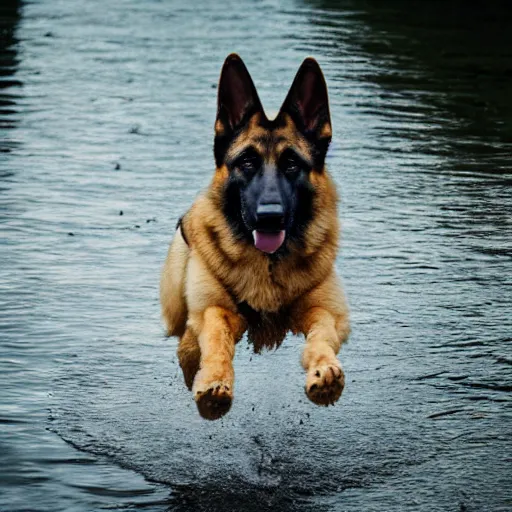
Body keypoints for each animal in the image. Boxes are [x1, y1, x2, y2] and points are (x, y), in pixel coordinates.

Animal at [162, 54, 350, 420]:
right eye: (247, 162)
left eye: (292, 164)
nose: (269, 216)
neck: (268, 264)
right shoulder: (213, 310)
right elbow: (216, 338)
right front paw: (214, 383)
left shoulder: (328, 310)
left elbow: (321, 335)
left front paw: (324, 371)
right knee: (186, 347)